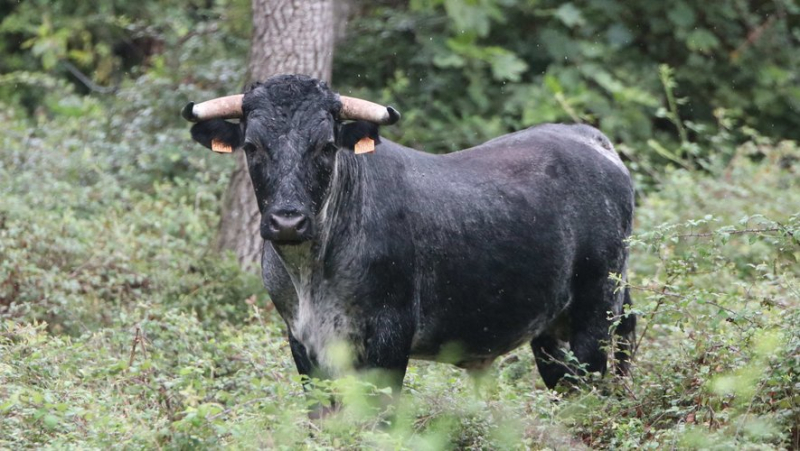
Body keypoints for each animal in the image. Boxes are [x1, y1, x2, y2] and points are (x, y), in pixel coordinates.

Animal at [181, 76, 636, 398]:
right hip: (553, 330)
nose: (287, 221)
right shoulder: (302, 342)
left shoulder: (389, 338)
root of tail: (588, 138)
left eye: (326, 146)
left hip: (597, 309)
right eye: (252, 146)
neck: (312, 272)